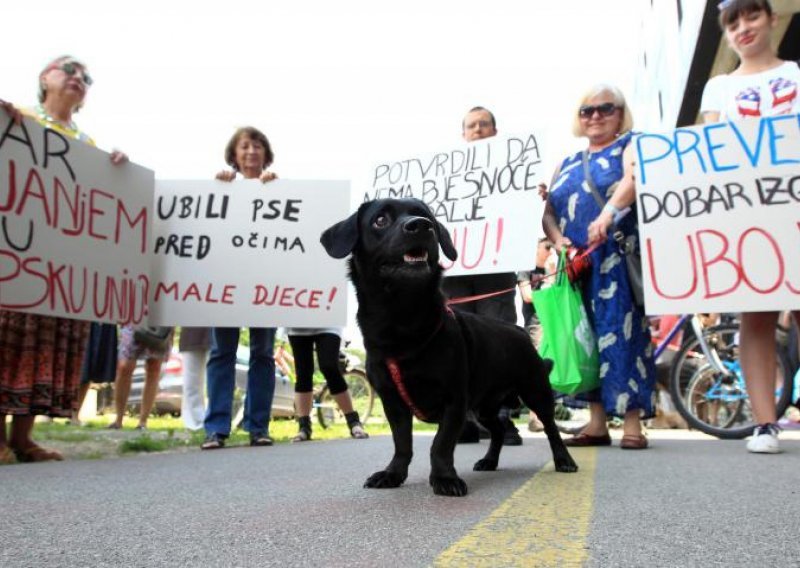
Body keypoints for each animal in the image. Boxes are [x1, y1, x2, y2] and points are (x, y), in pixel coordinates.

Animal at [322, 199, 580, 496]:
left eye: (427, 217)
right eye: (380, 220)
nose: (421, 225)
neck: (403, 321)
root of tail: (521, 334)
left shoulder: (454, 400)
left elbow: (441, 444)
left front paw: (444, 478)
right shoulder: (393, 403)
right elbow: (402, 443)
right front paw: (393, 473)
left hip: (535, 392)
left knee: (551, 429)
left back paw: (564, 459)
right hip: (484, 407)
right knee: (498, 430)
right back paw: (490, 460)